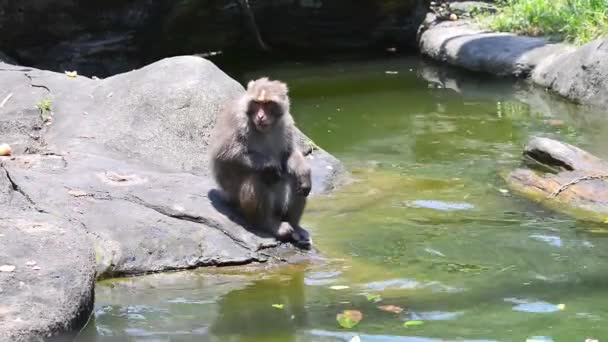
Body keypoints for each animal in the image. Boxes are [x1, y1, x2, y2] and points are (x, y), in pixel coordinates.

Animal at [209, 78, 314, 248]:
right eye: (257, 103)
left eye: (268, 104)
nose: (260, 116)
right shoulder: (236, 120)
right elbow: (223, 154)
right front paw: (270, 165)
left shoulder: (287, 122)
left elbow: (289, 153)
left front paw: (304, 173)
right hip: (236, 200)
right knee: (257, 176)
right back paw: (269, 225)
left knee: (292, 177)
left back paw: (296, 226)